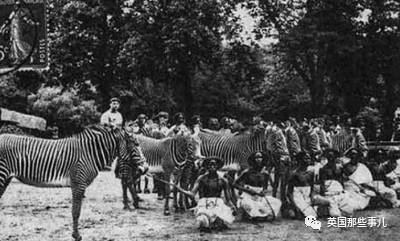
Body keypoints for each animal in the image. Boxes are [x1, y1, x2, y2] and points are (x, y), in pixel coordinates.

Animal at [0, 125, 143, 240]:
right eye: (135, 144)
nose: (144, 168)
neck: (89, 154)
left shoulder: (79, 185)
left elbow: (76, 211)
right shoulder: (78, 184)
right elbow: (76, 211)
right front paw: (76, 235)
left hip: (6, 178)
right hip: (2, 175)